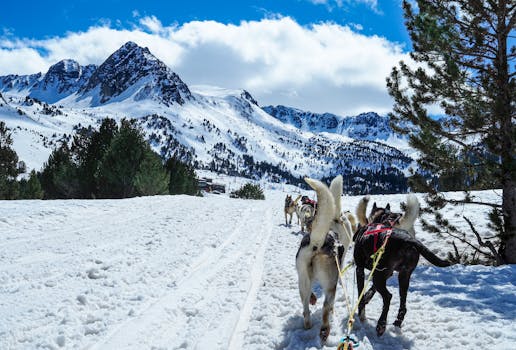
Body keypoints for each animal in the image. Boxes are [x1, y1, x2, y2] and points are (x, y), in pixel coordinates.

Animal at [294, 175, 354, 342]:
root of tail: (317, 244)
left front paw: (314, 298)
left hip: (303, 280)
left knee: (306, 307)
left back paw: (308, 323)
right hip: (330, 285)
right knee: (326, 308)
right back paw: (325, 329)